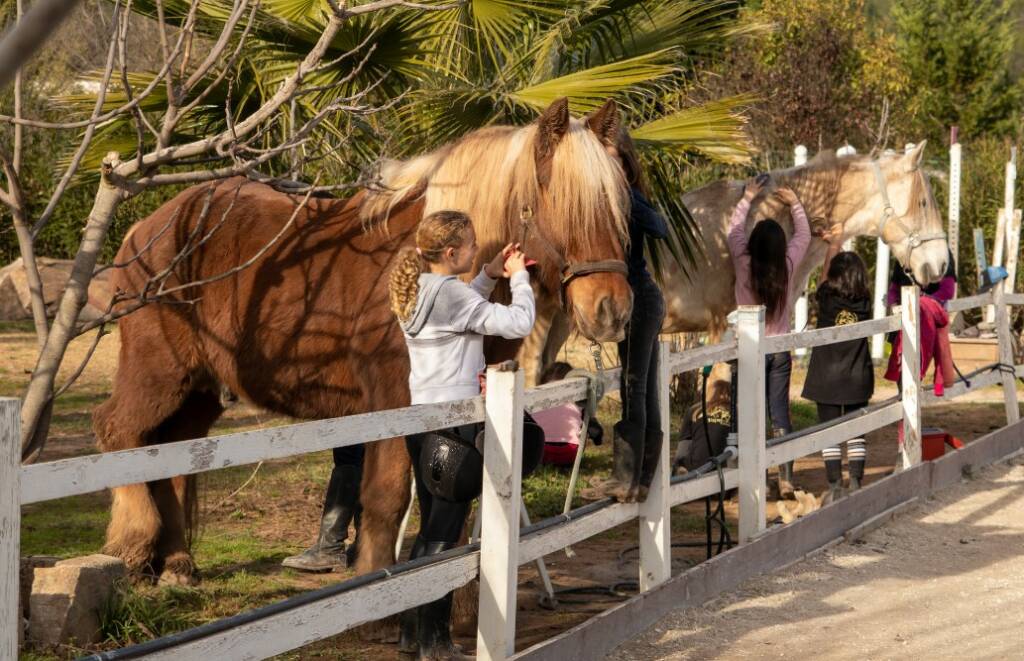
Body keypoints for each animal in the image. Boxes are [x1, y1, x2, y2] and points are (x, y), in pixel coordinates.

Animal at [93, 98, 635, 585]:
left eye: (617, 209)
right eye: (562, 206)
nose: (613, 309)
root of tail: (147, 229)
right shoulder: (394, 398)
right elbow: (386, 497)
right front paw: (376, 577)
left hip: (200, 390)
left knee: (172, 454)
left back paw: (177, 564)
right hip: (160, 373)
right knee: (120, 433)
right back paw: (134, 549)